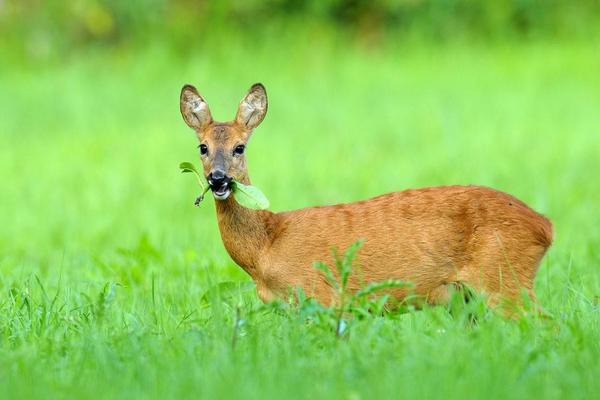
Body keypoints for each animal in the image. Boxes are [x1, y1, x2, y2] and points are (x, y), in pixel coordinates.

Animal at [178, 83, 552, 314]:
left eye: (240, 147)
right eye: (203, 147)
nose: (218, 179)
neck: (266, 248)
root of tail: (545, 227)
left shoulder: (321, 297)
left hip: (504, 279)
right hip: (470, 299)